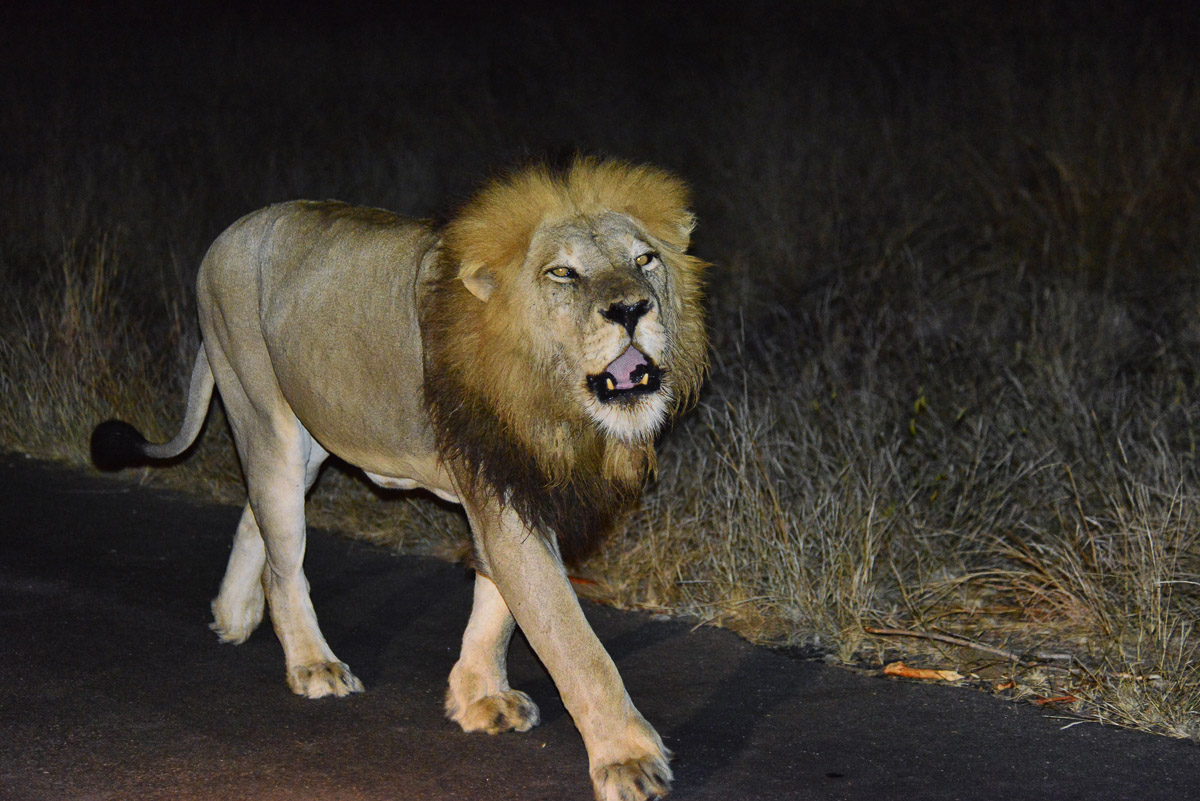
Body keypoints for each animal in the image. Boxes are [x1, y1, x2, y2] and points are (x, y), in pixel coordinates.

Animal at [90, 158, 708, 800]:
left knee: (254, 516)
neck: (553, 396)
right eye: (562, 272)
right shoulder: (502, 496)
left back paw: (232, 615)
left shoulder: (517, 482)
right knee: (284, 562)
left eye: (645, 260)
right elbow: (572, 640)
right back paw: (311, 665)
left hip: (307, 437)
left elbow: (498, 609)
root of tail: (227, 236)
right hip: (264, 415)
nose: (632, 310)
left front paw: (478, 698)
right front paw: (627, 759)